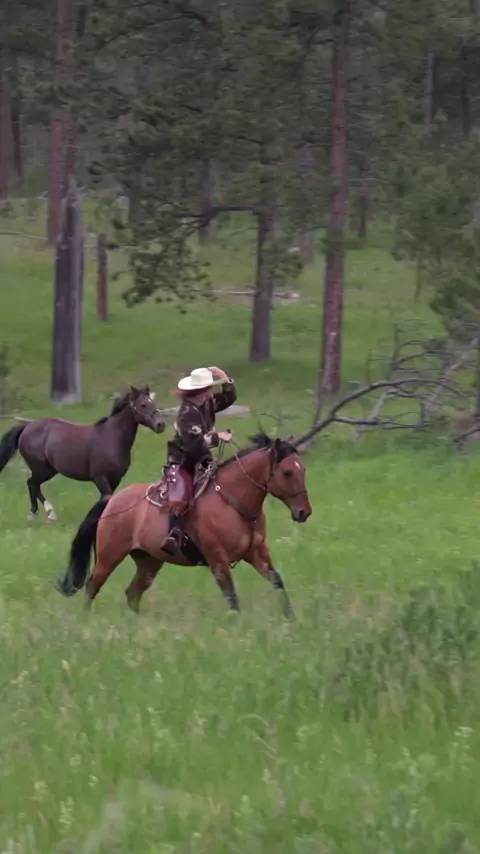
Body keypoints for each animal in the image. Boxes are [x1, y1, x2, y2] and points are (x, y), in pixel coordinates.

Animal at [0, 386, 165, 522]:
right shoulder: (100, 478)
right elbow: (106, 499)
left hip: (49, 470)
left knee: (33, 485)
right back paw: (42, 513)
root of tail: (26, 427)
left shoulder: (115, 479)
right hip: (41, 469)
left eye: (153, 403)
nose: (161, 424)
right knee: (32, 484)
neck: (112, 438)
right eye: (143, 404)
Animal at [55, 432, 312, 616]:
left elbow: (276, 580)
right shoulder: (218, 560)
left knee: (132, 593)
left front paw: (291, 618)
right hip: (109, 557)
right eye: (287, 472)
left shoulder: (257, 553)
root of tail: (112, 500)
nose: (304, 512)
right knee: (92, 587)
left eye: (303, 469)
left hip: (149, 562)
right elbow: (231, 595)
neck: (232, 500)